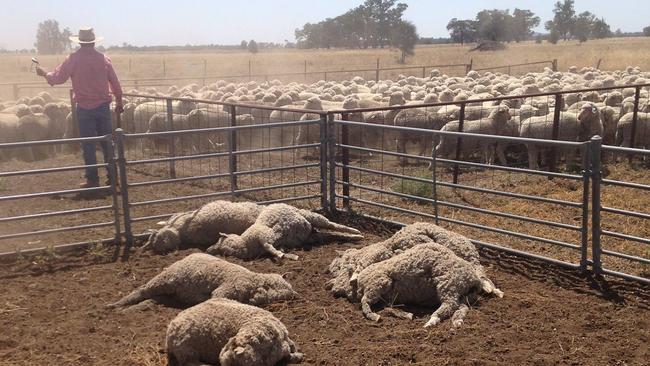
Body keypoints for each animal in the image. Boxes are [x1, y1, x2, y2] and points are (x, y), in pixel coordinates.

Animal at [107, 254, 296, 308]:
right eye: (278, 287)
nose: (295, 294)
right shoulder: (225, 289)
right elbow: (218, 297)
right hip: (164, 280)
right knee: (142, 290)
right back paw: (116, 305)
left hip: (171, 290)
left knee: (154, 298)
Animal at [206, 203, 362, 260]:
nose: (208, 250)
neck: (246, 242)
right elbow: (275, 247)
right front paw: (285, 254)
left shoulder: (265, 236)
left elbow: (270, 245)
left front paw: (279, 254)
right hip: (312, 236)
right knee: (332, 234)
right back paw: (355, 237)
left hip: (312, 216)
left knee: (334, 225)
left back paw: (356, 231)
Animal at [354, 243, 502, 326]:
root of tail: (473, 279)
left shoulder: (376, 284)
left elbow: (366, 303)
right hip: (461, 294)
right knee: (461, 307)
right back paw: (456, 321)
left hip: (449, 285)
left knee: (450, 305)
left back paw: (432, 320)